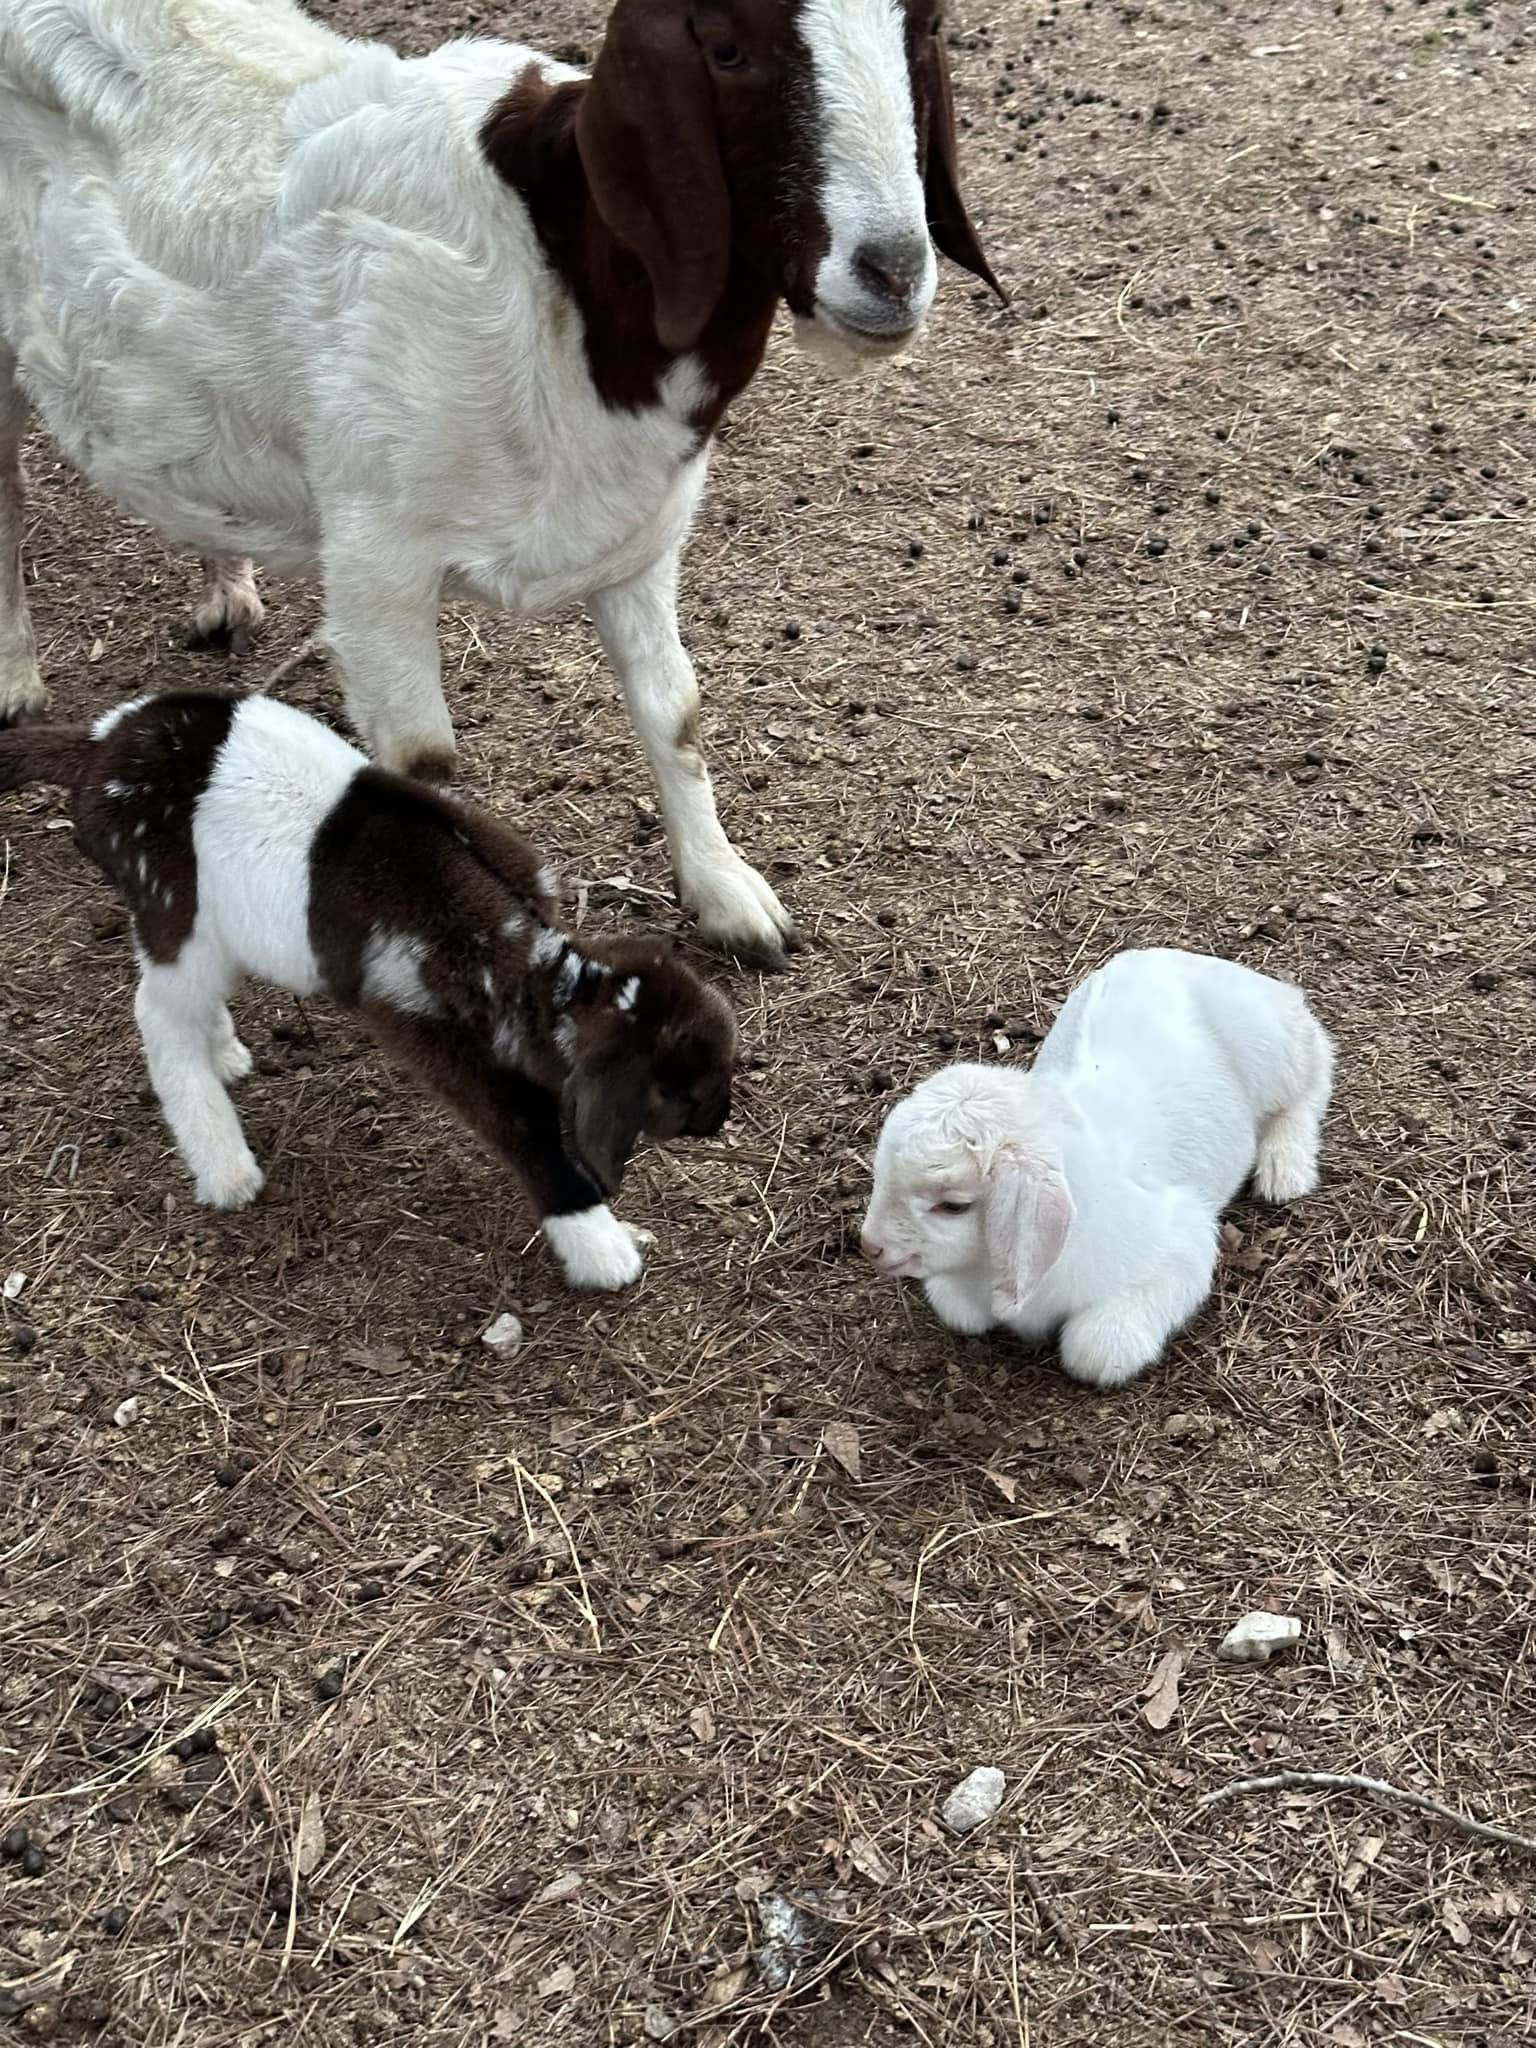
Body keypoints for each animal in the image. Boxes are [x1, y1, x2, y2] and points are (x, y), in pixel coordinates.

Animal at [0, 0, 1001, 967]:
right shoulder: (375, 559)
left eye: (928, 30)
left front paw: (726, 897)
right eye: (724, 50)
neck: (558, 271)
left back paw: (225, 585)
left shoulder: (641, 536)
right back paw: (15, 682)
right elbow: (422, 765)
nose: (893, 270)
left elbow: (674, 711)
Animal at [0, 692, 739, 1291]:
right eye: (677, 1092)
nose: (720, 1121)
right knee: (159, 1015)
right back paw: (226, 1169)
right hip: (172, 906)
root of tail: (98, 748)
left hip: (213, 930)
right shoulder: (423, 1026)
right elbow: (519, 1124)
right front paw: (602, 1247)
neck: (511, 949)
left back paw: (226, 1055)